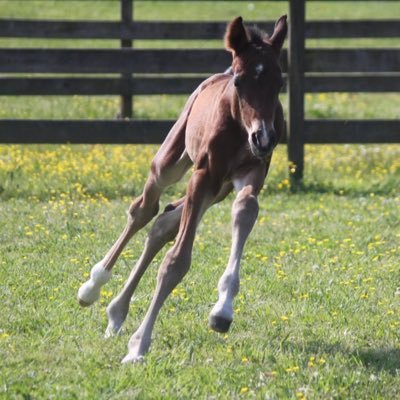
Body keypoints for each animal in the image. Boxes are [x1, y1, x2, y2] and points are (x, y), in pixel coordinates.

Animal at [77, 15, 288, 362]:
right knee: (144, 210)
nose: (264, 138)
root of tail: (215, 75)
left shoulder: (251, 172)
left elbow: (245, 211)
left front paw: (222, 311)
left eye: (279, 83)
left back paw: (116, 312)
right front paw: (138, 347)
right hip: (174, 164)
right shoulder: (203, 175)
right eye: (240, 81)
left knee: (163, 222)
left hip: (219, 189)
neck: (237, 126)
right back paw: (93, 286)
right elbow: (176, 261)